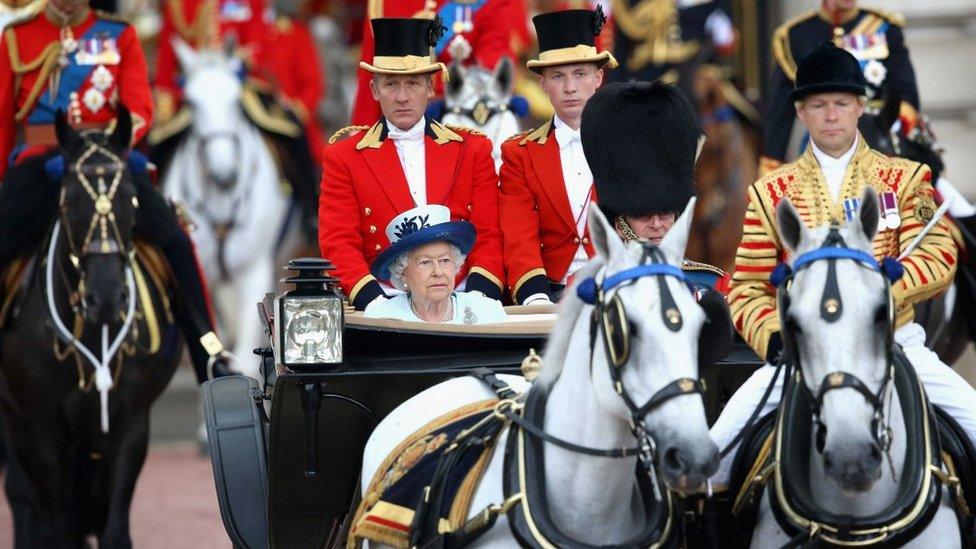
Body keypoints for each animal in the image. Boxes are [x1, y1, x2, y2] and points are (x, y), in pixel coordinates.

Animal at [0, 110, 183, 544]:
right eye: (68, 200)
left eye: (131, 199)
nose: (106, 297)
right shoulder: (43, 429)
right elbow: (53, 525)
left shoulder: (130, 423)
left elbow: (114, 529)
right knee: (23, 496)